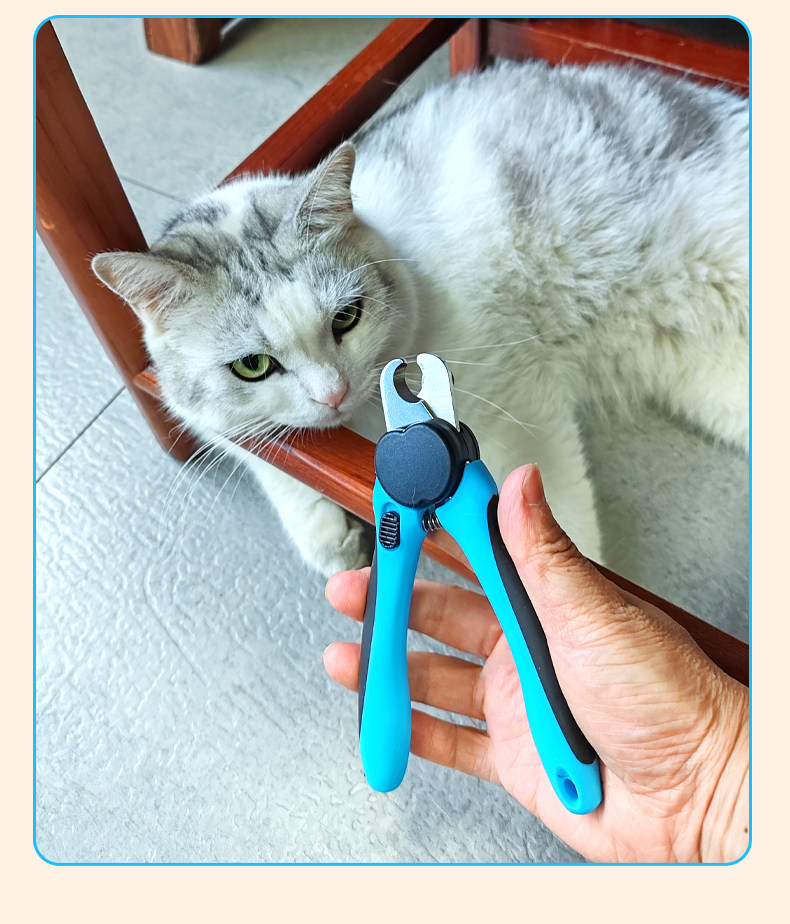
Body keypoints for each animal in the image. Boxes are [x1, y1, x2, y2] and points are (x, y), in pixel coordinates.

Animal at [91, 60, 749, 576]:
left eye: (347, 318)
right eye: (253, 365)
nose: (334, 394)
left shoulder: (516, 400)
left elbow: (548, 511)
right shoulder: (197, 411)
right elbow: (257, 449)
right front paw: (327, 537)